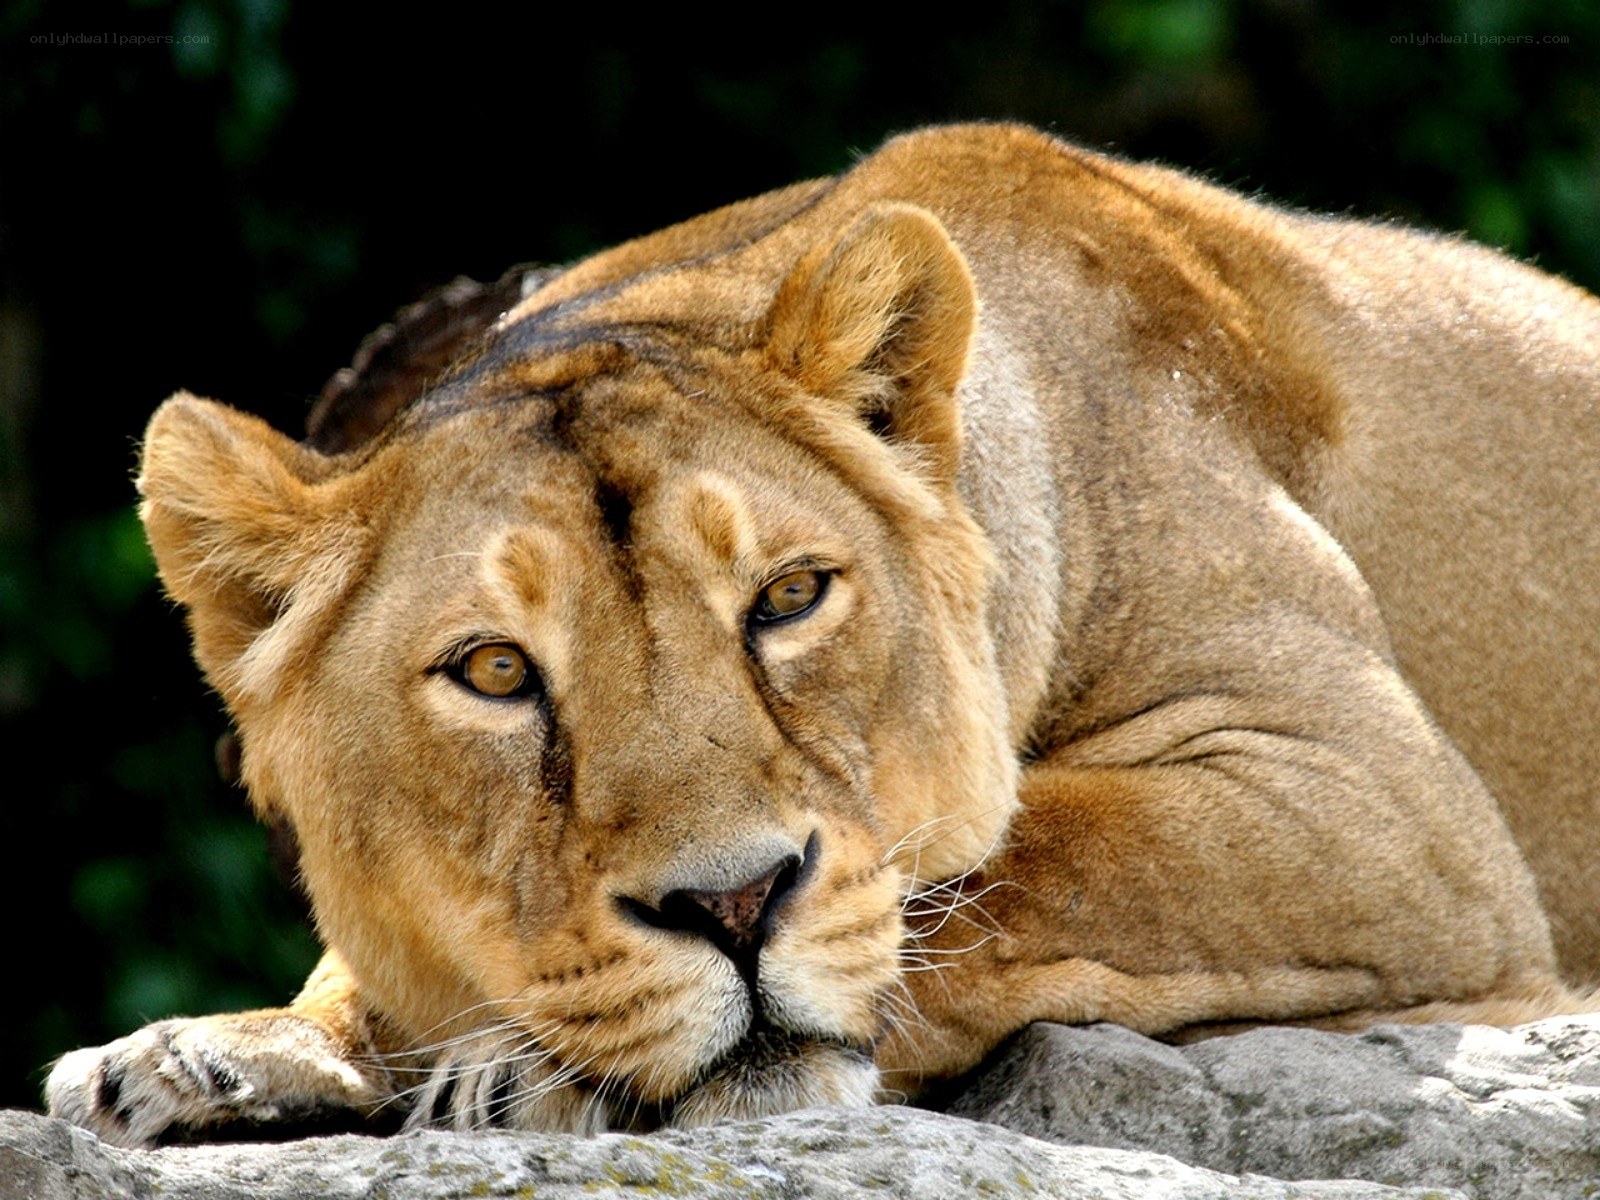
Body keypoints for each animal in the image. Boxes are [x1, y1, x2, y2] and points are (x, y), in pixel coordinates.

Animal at [46, 122, 1600, 1148]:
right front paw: (226, 1050)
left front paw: (533, 1074)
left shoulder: (1378, 805)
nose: (732, 910)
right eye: (494, 672)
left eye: (790, 597)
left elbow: (1029, 860)